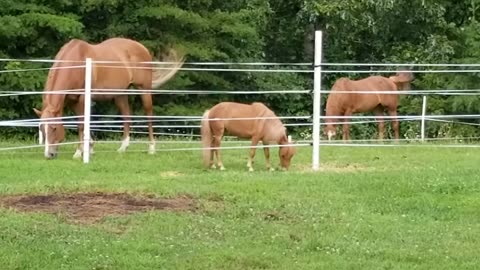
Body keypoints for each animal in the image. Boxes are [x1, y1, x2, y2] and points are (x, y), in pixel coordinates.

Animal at [32, 37, 185, 159]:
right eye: (41, 129)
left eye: (54, 128)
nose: (49, 154)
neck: (76, 62)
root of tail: (142, 47)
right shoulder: (70, 101)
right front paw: (90, 148)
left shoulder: (82, 99)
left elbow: (81, 124)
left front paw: (79, 152)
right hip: (120, 95)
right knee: (127, 117)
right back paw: (123, 147)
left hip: (144, 90)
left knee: (149, 116)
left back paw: (151, 148)